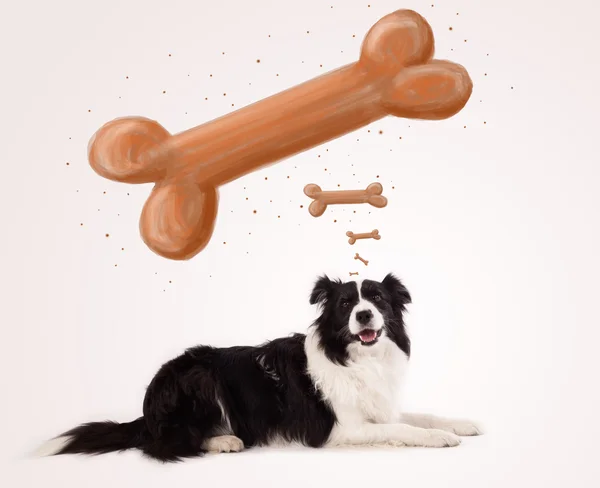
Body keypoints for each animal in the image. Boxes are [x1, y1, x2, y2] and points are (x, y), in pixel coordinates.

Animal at [38, 274, 482, 462]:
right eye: (345, 304)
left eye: (377, 299)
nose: (364, 315)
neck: (358, 359)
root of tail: (147, 409)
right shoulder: (341, 429)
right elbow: (405, 429)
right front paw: (439, 439)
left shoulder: (380, 405)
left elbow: (421, 415)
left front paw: (460, 425)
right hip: (201, 375)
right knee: (165, 443)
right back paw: (224, 441)